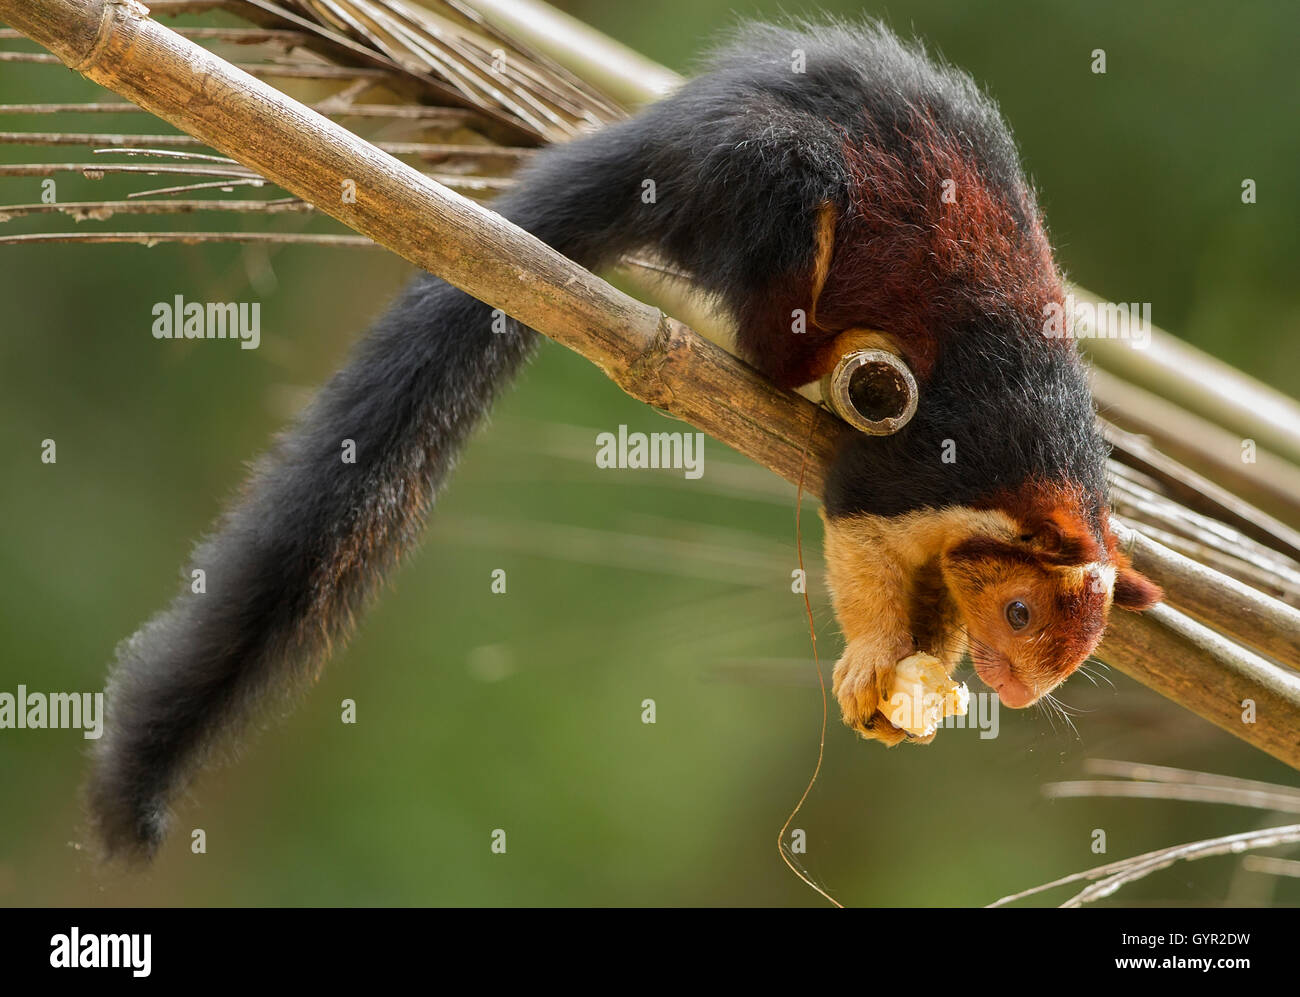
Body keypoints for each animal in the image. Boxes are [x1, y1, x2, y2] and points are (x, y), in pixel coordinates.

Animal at [86, 20, 1162, 859]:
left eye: (1068, 658)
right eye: (1020, 614)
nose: (1016, 690)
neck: (1041, 481)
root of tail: (670, 131)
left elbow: (930, 609)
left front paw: (915, 687)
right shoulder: (922, 470)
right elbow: (861, 538)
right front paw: (870, 662)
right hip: (776, 180)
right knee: (778, 310)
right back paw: (831, 360)